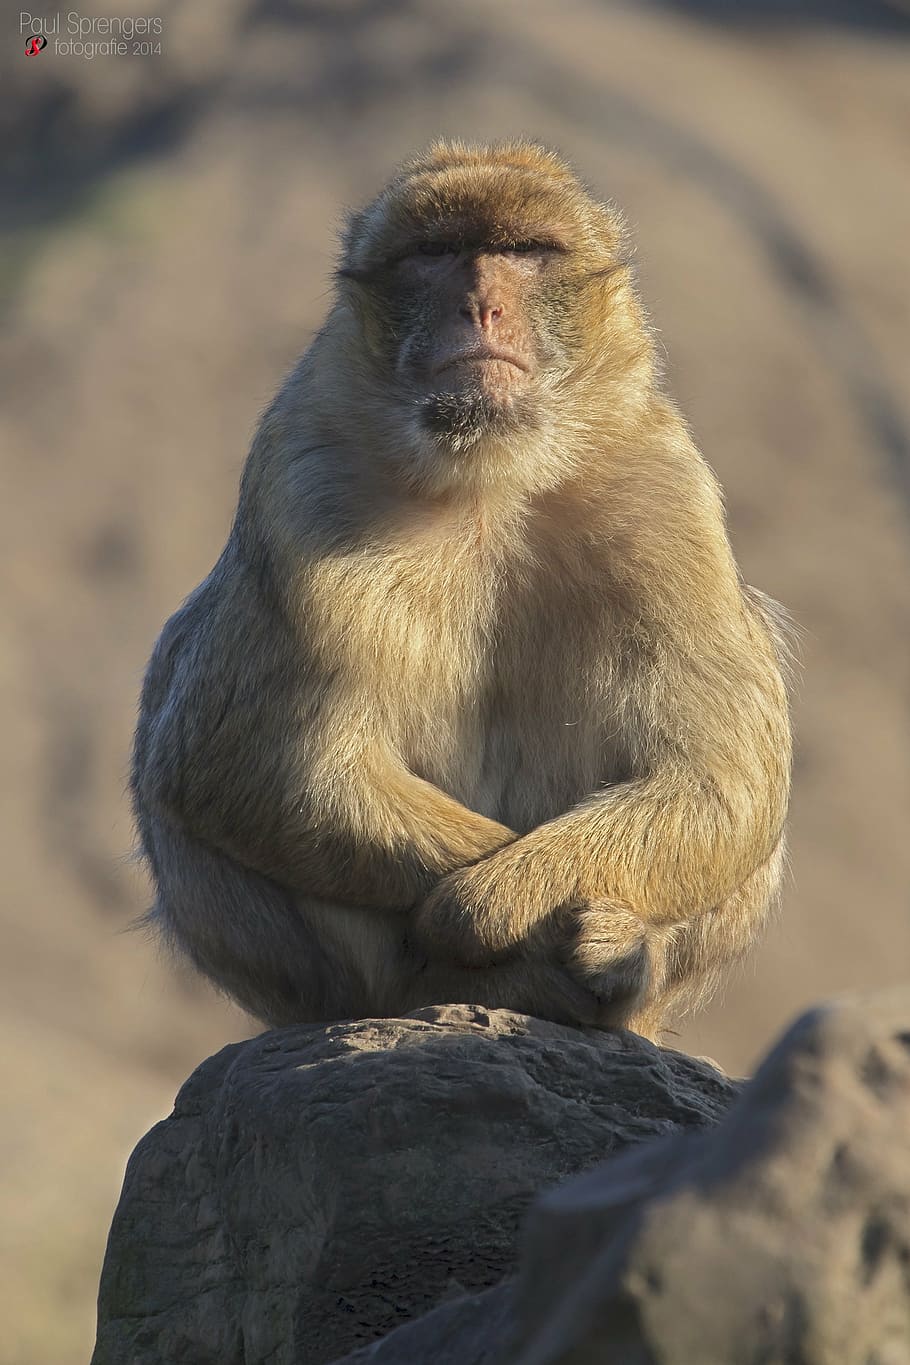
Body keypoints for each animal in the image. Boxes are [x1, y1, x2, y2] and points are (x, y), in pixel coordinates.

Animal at [130, 139, 793, 1040]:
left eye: (526, 250)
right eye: (437, 253)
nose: (480, 305)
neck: (490, 474)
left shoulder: (667, 495)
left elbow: (720, 775)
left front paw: (500, 903)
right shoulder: (303, 472)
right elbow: (246, 762)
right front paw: (495, 914)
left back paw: (622, 971)